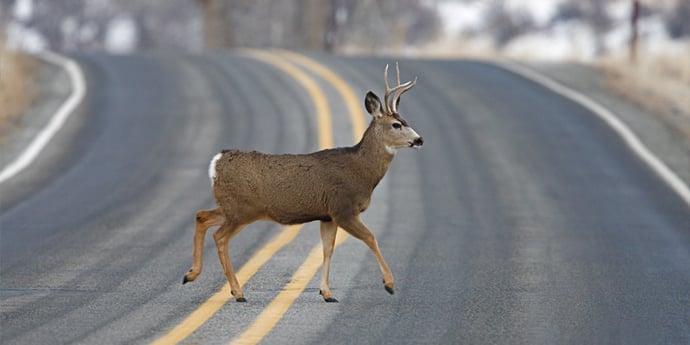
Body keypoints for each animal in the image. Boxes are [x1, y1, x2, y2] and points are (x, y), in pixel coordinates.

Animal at [181, 61, 420, 300]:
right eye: (396, 124)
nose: (420, 139)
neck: (362, 172)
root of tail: (216, 162)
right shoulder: (343, 208)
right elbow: (371, 238)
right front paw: (389, 283)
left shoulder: (327, 216)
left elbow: (327, 249)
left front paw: (326, 292)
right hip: (242, 209)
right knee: (220, 236)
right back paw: (237, 291)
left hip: (231, 206)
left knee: (202, 216)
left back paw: (191, 274)